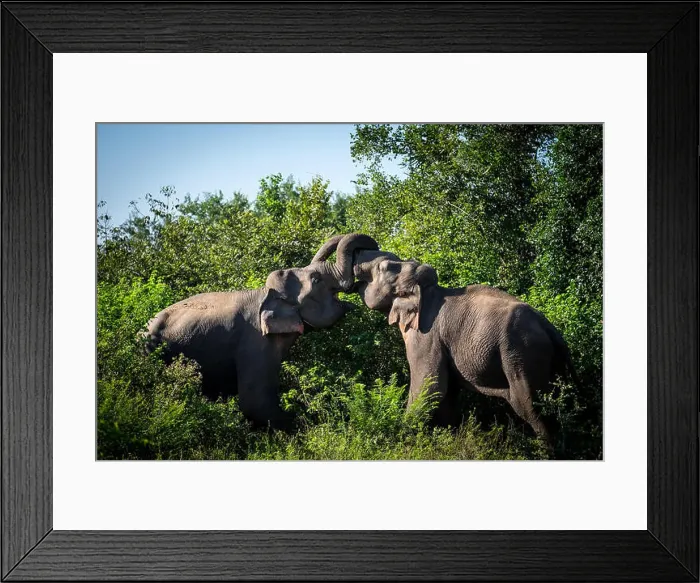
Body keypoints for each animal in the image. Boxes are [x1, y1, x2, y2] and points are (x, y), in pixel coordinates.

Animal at [141, 234, 379, 431]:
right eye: (316, 279)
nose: (368, 252)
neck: (267, 294)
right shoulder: (254, 342)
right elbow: (255, 402)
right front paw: (311, 426)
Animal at [335, 234, 580, 448]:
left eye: (382, 268)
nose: (346, 284)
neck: (428, 291)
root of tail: (549, 328)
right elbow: (447, 395)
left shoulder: (426, 337)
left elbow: (430, 387)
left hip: (522, 354)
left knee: (531, 406)